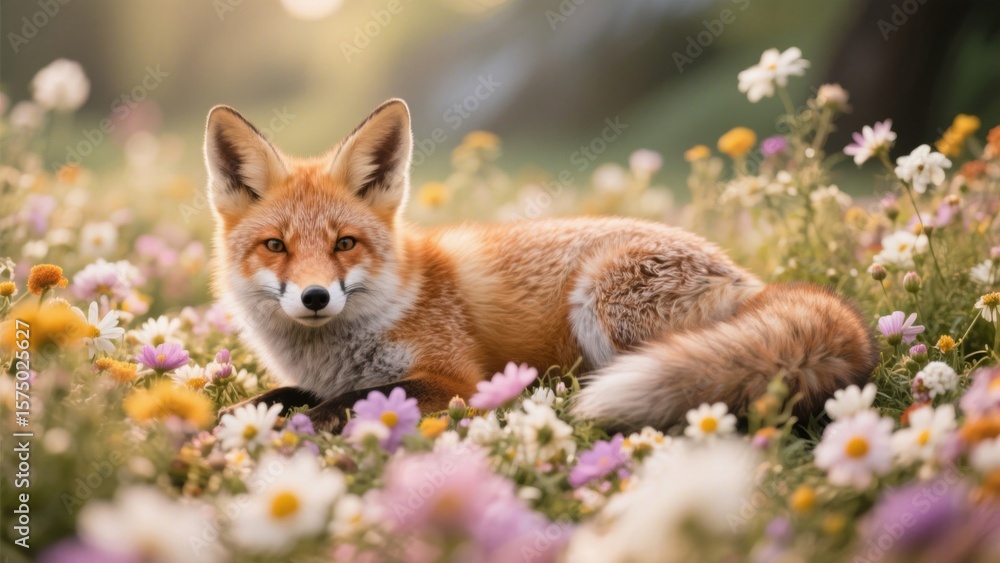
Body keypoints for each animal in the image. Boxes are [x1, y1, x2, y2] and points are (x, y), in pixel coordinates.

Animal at [206, 98, 878, 432]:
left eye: (344, 243)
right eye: (276, 246)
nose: (315, 297)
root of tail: (747, 280)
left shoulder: (453, 379)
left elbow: (339, 406)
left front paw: (285, 437)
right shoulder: (318, 378)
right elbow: (273, 398)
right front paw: (229, 420)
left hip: (605, 306)